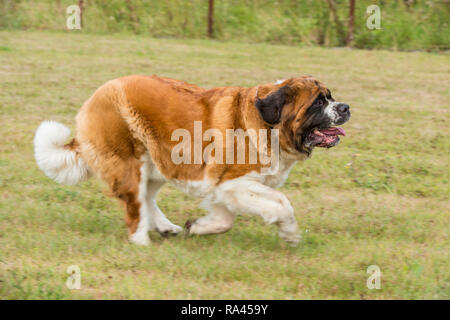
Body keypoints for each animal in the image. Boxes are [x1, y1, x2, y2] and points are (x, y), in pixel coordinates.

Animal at [36, 75, 352, 245]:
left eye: (331, 97)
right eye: (318, 102)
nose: (346, 107)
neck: (268, 124)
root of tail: (97, 95)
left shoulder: (225, 187)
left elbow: (225, 219)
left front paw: (198, 227)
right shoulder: (233, 183)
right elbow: (282, 204)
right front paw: (290, 234)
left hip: (160, 161)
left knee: (147, 196)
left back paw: (165, 227)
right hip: (130, 162)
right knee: (135, 203)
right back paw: (141, 240)